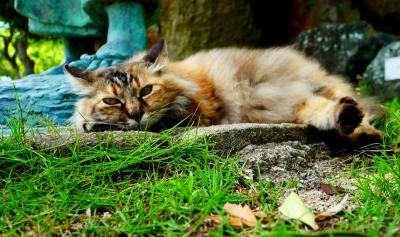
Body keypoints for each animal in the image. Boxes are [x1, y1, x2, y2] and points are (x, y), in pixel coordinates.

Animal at [64, 40, 382, 144]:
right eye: (111, 100)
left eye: (146, 91)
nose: (135, 113)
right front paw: (90, 122)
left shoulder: (193, 114)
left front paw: (94, 125)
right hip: (284, 103)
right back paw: (353, 124)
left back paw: (360, 128)